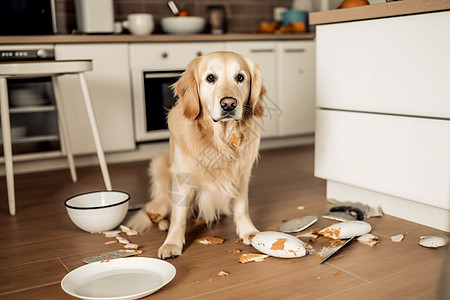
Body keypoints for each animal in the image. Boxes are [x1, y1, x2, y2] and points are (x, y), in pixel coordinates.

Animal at [126, 51, 266, 258]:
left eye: (240, 77)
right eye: (210, 78)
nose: (229, 104)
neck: (219, 141)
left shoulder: (241, 175)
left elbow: (242, 207)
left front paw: (249, 231)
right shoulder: (182, 181)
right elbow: (178, 218)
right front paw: (172, 243)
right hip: (160, 177)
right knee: (154, 212)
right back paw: (164, 224)